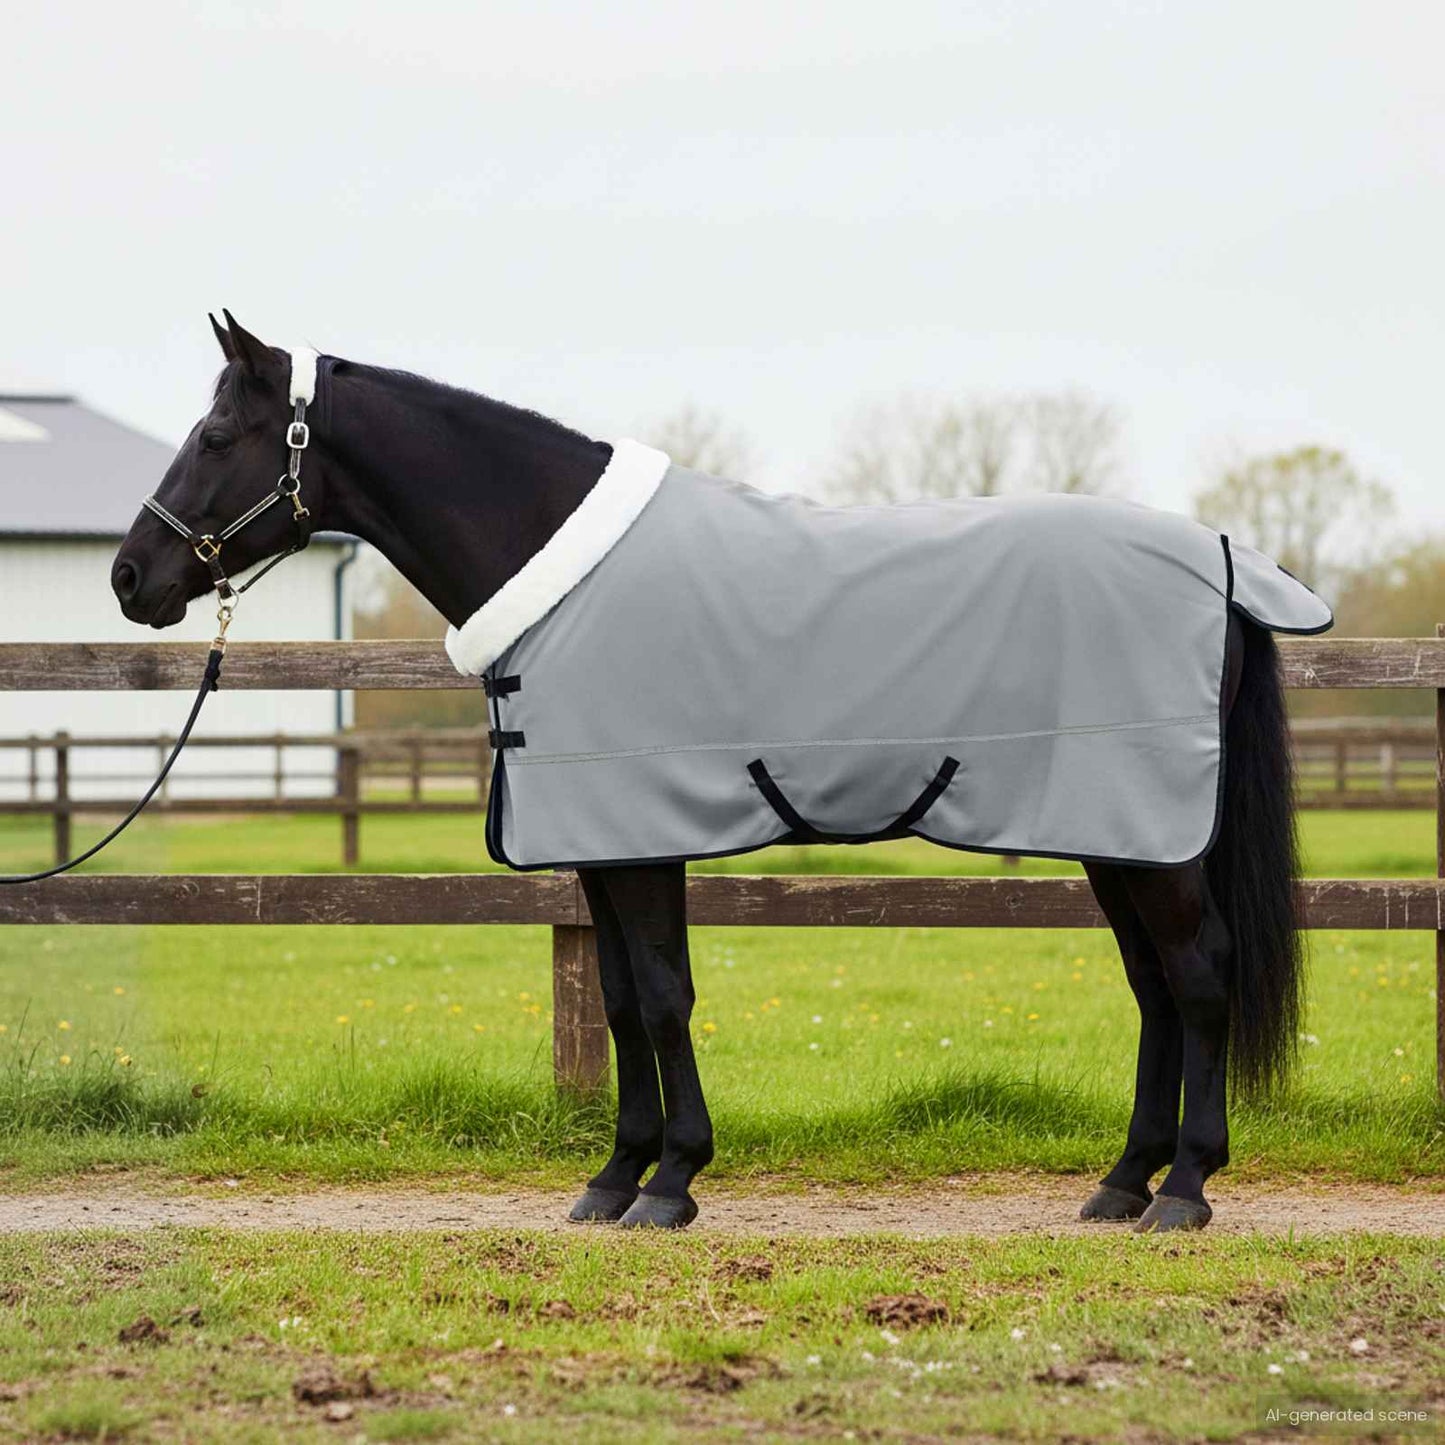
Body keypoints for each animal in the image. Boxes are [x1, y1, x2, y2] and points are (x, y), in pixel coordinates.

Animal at [112, 312, 1315, 1234]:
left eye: (216, 432)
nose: (131, 575)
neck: (558, 569)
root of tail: (1222, 559)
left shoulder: (641, 837)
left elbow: (658, 995)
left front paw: (672, 1180)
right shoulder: (600, 846)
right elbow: (616, 1001)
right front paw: (615, 1176)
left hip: (1151, 837)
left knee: (1198, 973)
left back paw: (1184, 1188)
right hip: (1117, 832)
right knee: (1153, 985)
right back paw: (1121, 1182)